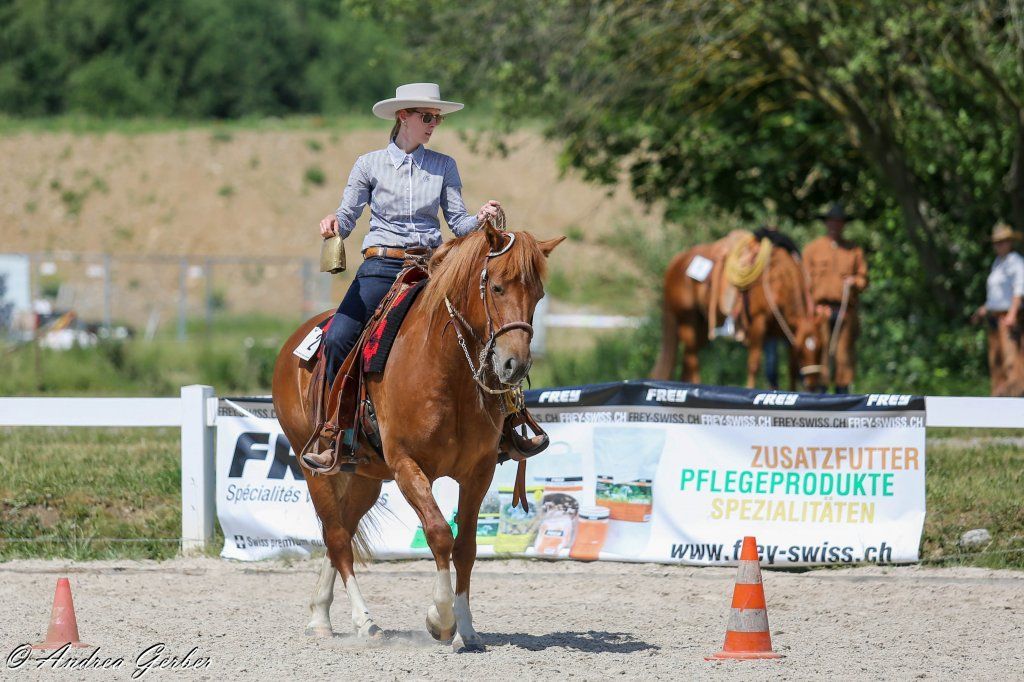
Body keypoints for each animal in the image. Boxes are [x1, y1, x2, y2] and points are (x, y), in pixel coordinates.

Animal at [272, 224, 564, 652]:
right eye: (496, 287)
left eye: (538, 294)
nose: (516, 364)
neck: (445, 370)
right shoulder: (408, 466)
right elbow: (440, 534)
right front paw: (440, 620)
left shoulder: (479, 472)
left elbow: (466, 546)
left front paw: (467, 629)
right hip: (315, 468)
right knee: (339, 538)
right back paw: (363, 622)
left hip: (366, 478)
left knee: (340, 531)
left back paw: (320, 615)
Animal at [651, 232, 825, 390]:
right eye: (802, 350)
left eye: (821, 348)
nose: (811, 383)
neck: (778, 280)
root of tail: (675, 262)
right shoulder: (758, 324)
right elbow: (754, 365)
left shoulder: (786, 330)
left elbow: (792, 368)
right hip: (688, 323)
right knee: (693, 361)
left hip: (701, 328)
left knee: (687, 361)